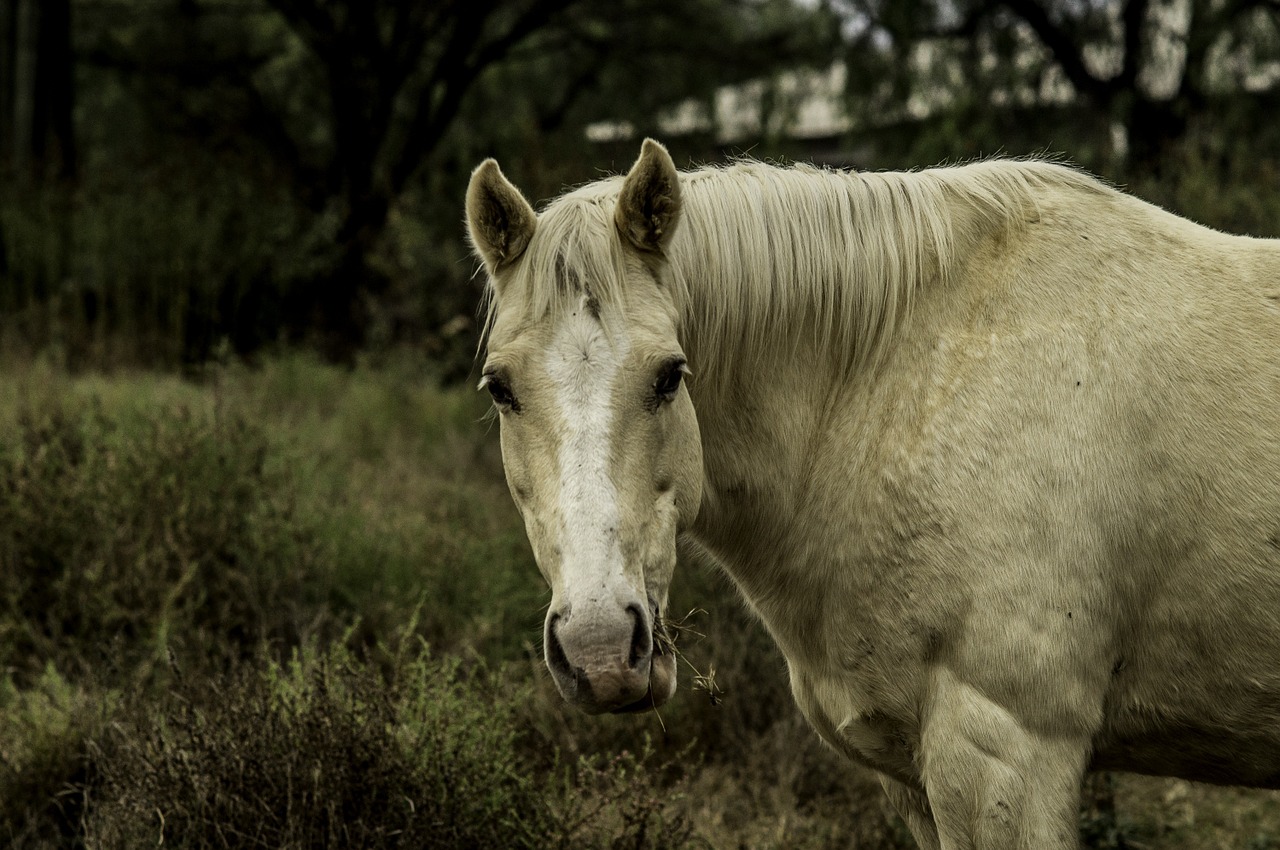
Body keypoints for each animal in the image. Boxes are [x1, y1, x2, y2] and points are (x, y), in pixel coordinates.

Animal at [468, 139, 1280, 850]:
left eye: (670, 374)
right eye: (501, 388)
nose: (601, 650)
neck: (900, 391)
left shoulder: (1010, 755)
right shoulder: (913, 775)